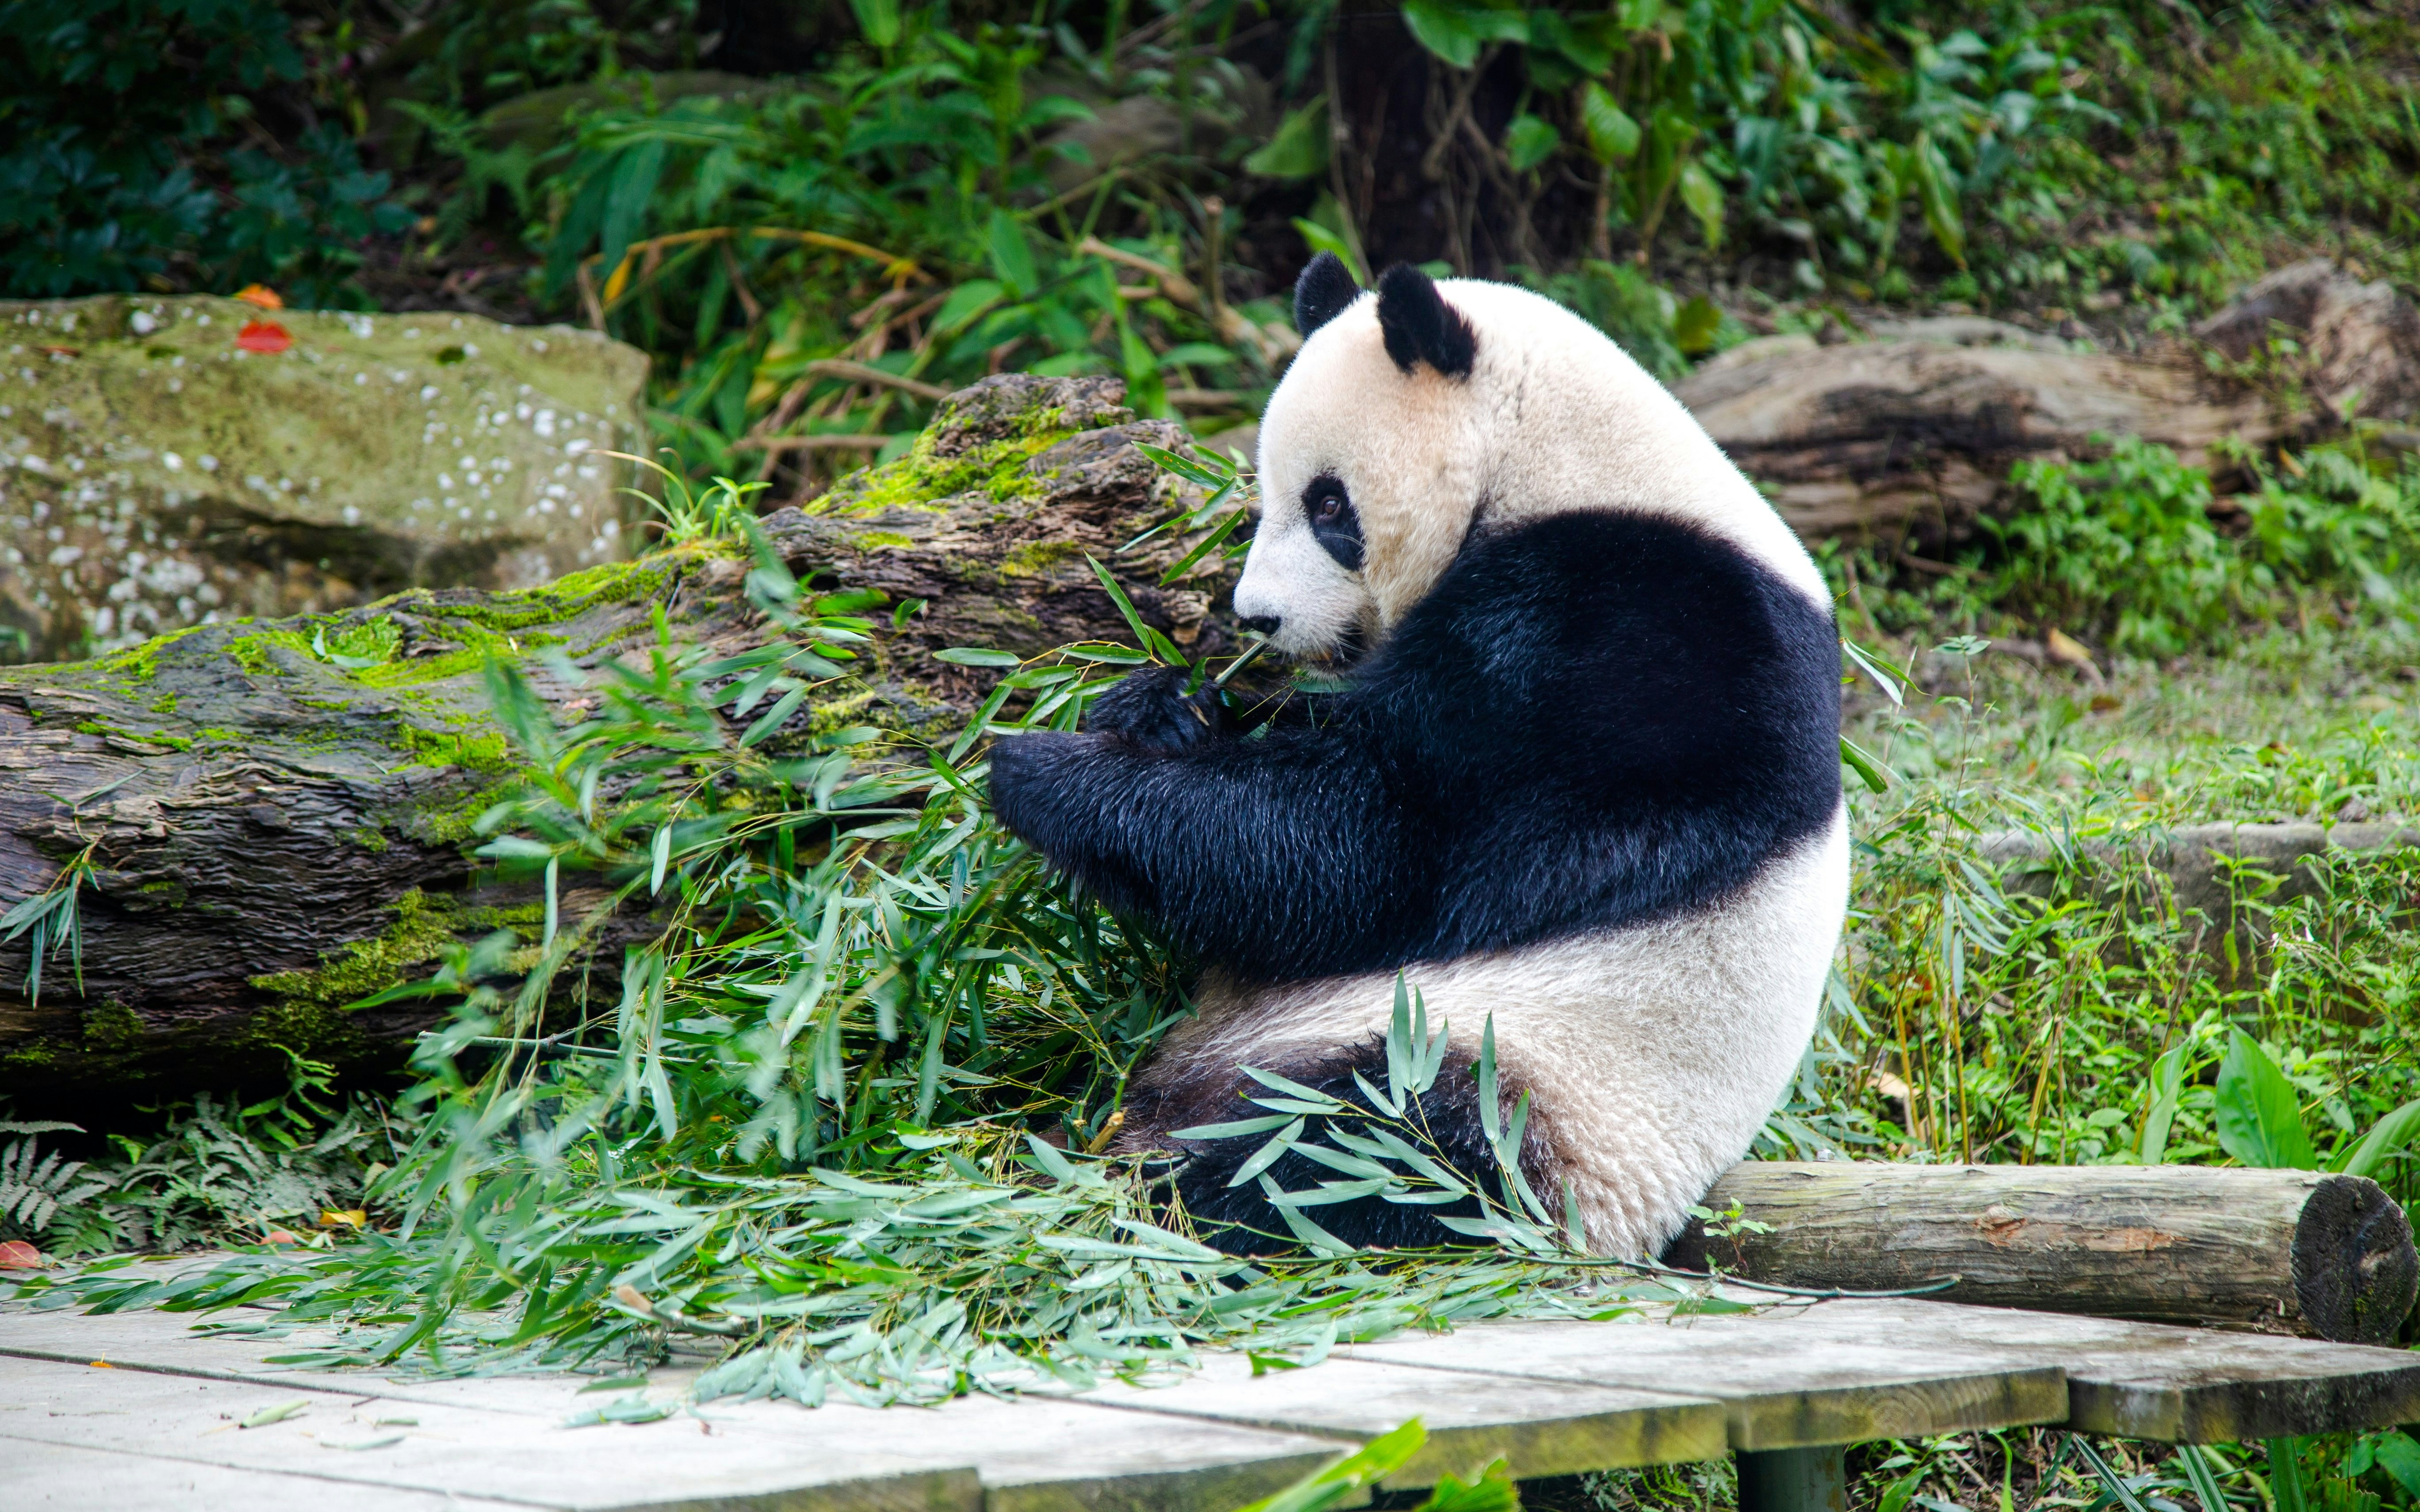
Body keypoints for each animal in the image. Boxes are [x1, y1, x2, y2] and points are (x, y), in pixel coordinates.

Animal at [987, 255, 1849, 1259]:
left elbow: (1383, 848)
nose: (1257, 620)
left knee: (1361, 1142)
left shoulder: (1635, 645)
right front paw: (1160, 707)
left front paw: (1041, 770)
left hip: (1524, 1077)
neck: (1570, 468)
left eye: (1329, 505)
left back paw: (1154, 1183)